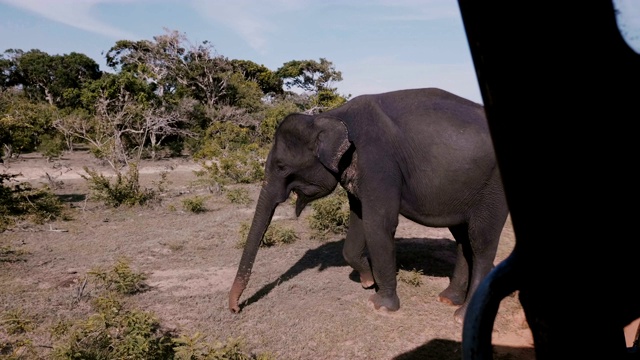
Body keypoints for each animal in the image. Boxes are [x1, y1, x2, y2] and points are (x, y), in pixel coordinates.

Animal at [228, 88, 508, 324]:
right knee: (462, 238)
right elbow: (359, 220)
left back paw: (461, 316)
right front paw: (366, 280)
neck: (328, 117)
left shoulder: (378, 163)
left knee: (481, 242)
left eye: (281, 166)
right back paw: (448, 298)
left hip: (494, 188)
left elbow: (379, 224)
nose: (235, 309)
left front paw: (380, 305)